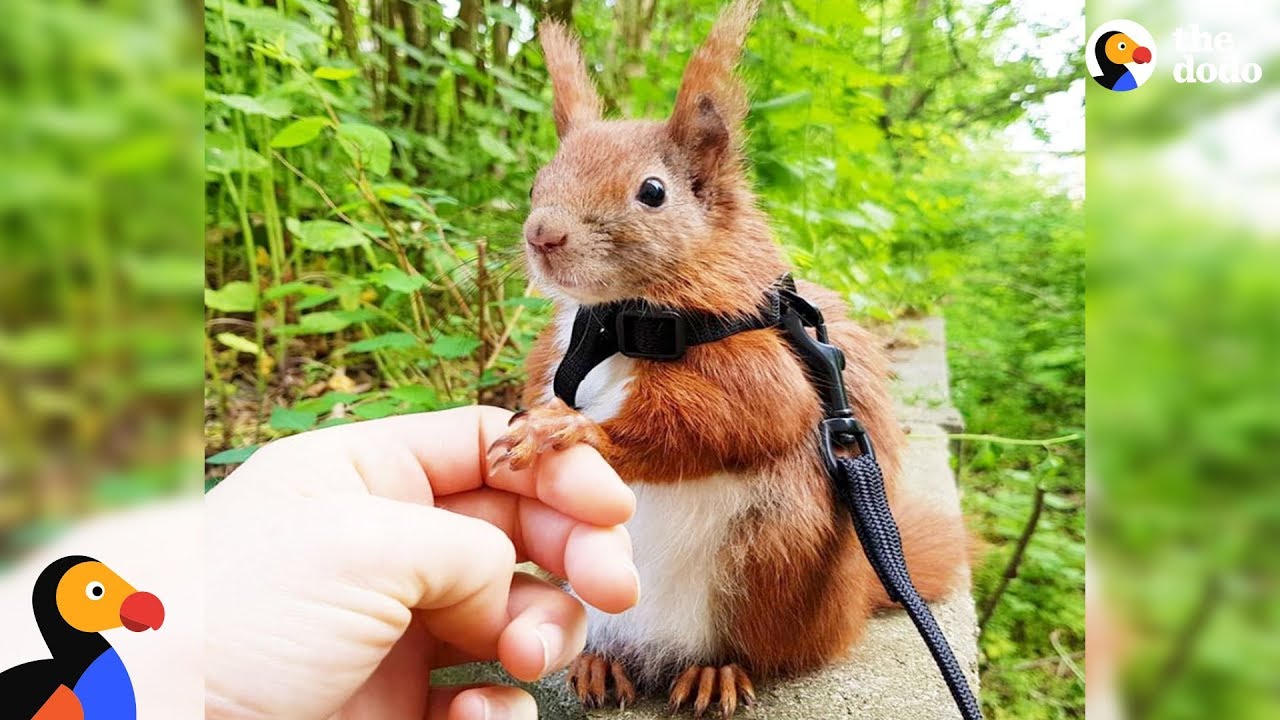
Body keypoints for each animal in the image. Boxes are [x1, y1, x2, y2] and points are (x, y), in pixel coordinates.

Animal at [489, 1, 971, 716]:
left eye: (653, 192)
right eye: (535, 182)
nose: (542, 234)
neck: (619, 320)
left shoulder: (760, 360)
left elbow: (736, 418)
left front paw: (573, 429)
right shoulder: (554, 352)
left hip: (772, 562)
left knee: (754, 651)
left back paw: (714, 672)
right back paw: (601, 663)